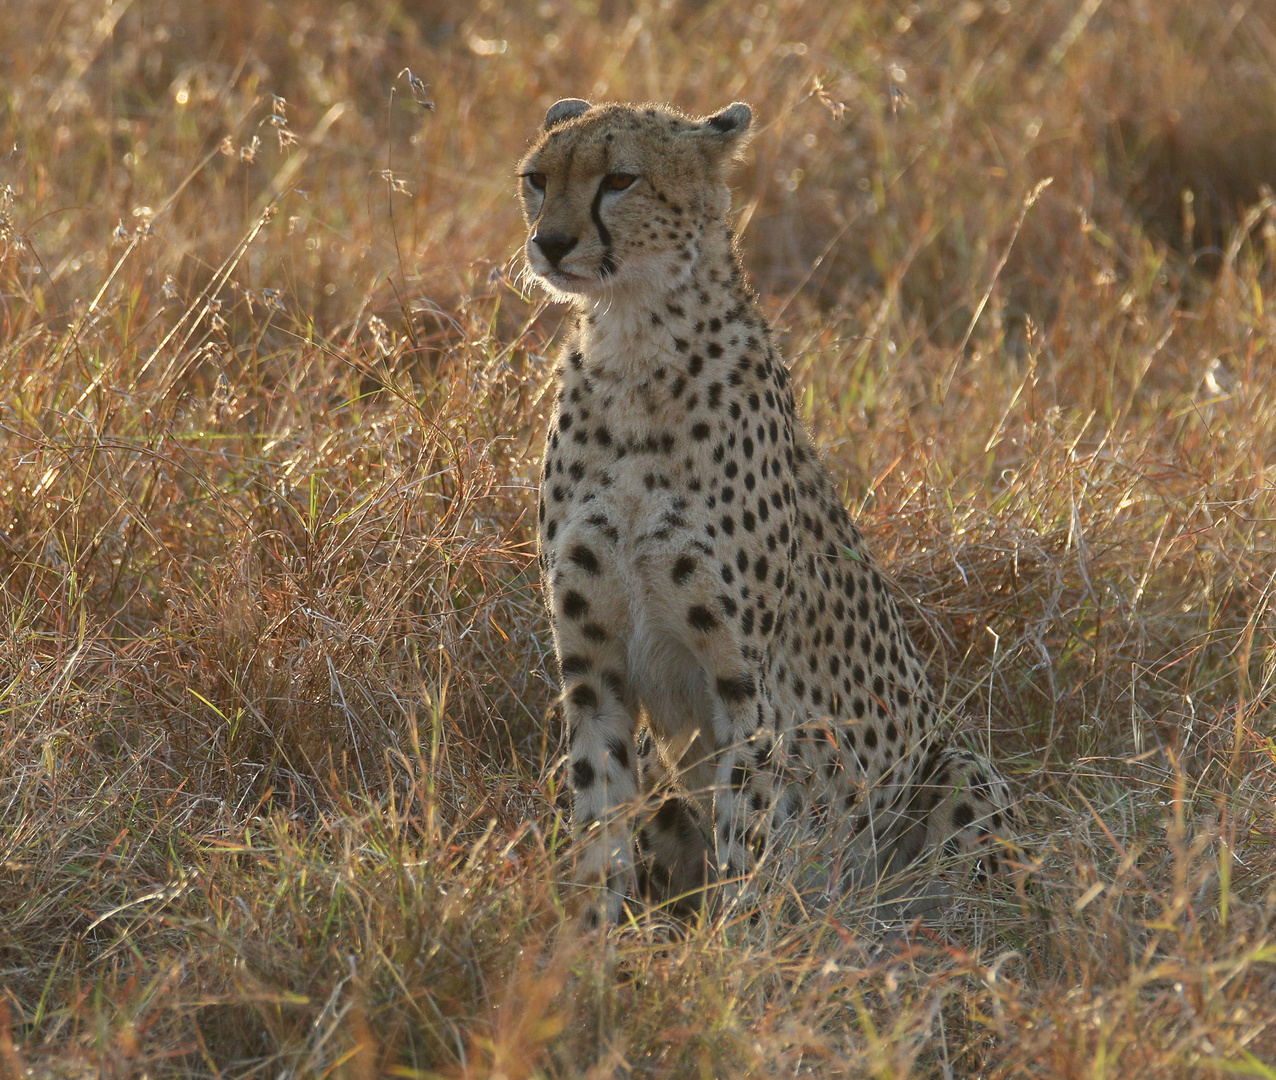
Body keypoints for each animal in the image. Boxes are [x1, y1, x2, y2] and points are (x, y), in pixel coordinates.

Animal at [518, 99, 1015, 924]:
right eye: (537, 178)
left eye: (620, 179)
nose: (550, 243)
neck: (633, 345)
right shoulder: (593, 672)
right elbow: (599, 821)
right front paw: (591, 940)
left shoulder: (746, 687)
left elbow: (745, 832)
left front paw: (732, 946)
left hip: (959, 771)